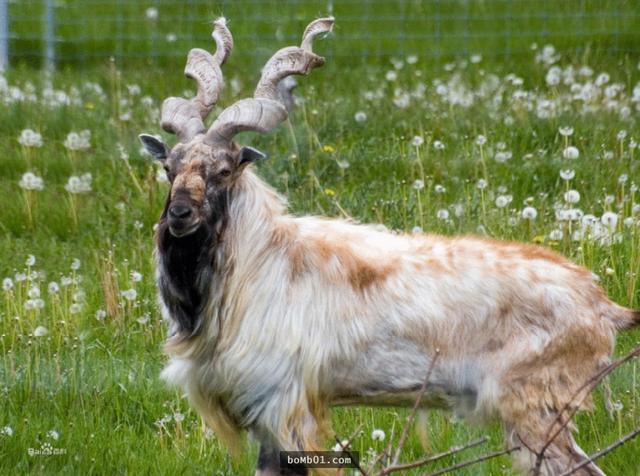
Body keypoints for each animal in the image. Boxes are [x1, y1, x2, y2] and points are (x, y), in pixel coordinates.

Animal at [141, 17, 640, 476]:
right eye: (170, 167)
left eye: (224, 170)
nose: (180, 215)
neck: (259, 260)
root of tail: (604, 306)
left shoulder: (282, 403)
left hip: (535, 409)